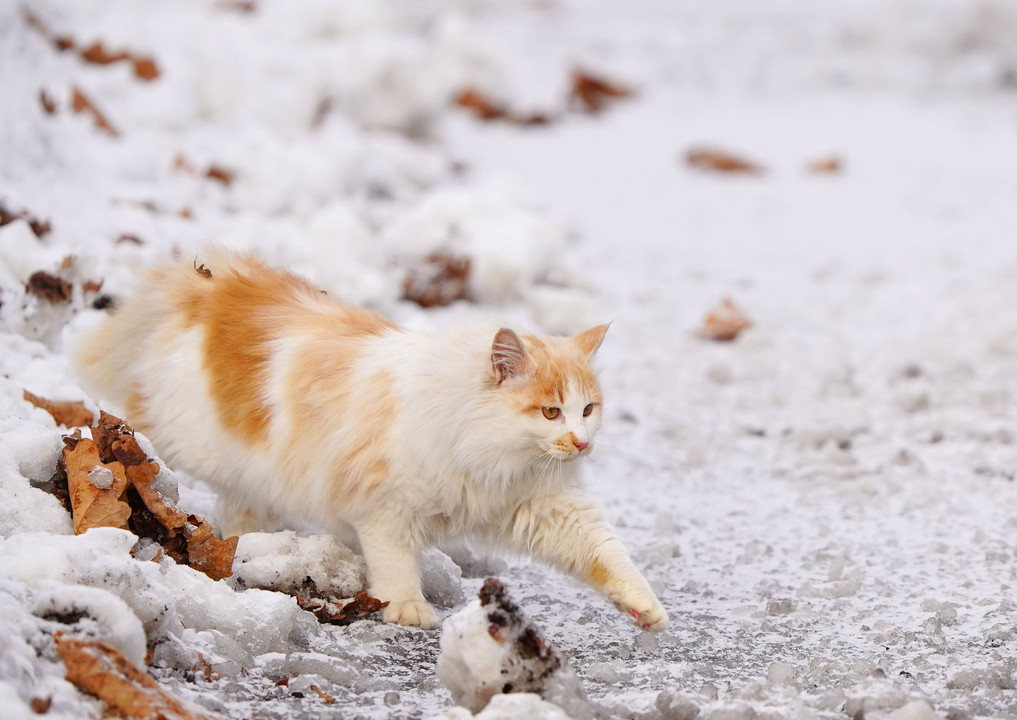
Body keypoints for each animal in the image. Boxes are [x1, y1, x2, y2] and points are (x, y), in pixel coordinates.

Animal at [77, 249, 667, 630]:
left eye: (588, 410)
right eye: (550, 411)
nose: (581, 443)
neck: (482, 445)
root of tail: (210, 283)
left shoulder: (546, 506)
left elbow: (606, 555)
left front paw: (647, 610)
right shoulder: (386, 506)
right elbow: (394, 563)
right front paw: (406, 609)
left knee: (243, 509)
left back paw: (253, 543)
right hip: (184, 435)